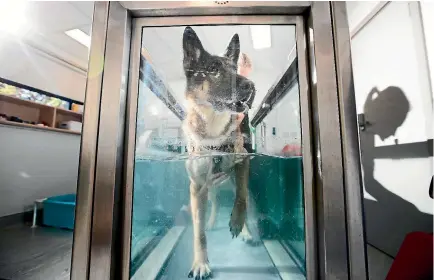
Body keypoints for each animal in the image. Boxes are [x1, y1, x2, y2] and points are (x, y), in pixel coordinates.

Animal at [182, 25, 256, 278]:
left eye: (234, 69)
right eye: (213, 70)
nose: (250, 86)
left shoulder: (243, 161)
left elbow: (241, 197)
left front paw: (238, 223)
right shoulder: (196, 187)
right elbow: (198, 232)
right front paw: (200, 263)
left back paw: (245, 231)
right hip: (208, 185)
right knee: (213, 201)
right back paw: (212, 221)